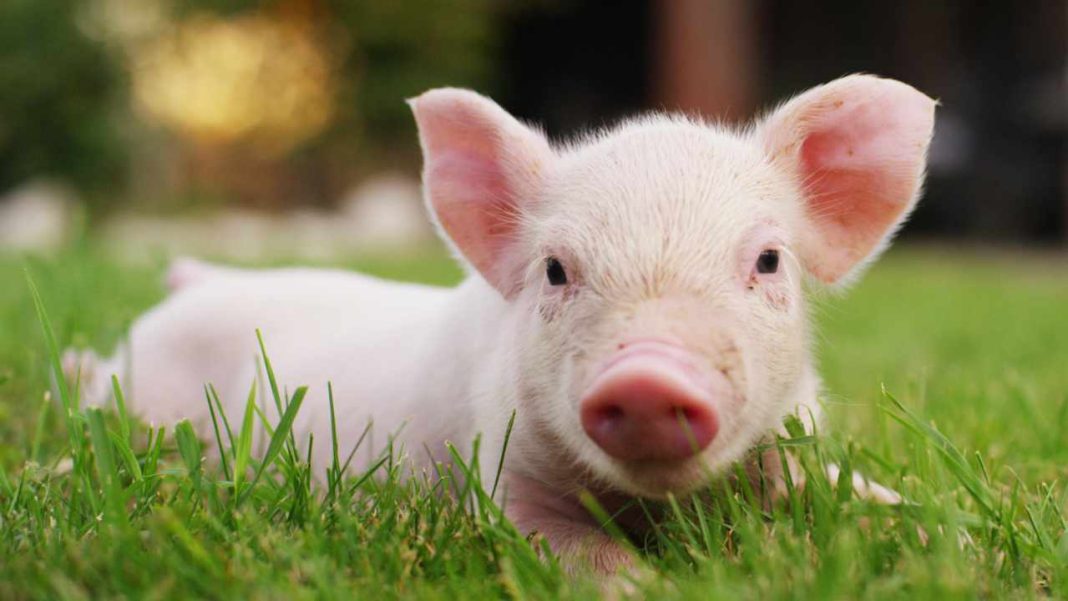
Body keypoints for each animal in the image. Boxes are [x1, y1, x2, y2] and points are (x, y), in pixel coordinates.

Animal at [64, 74, 935, 572]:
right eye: (554, 269)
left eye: (768, 261)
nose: (648, 374)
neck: (653, 505)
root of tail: (198, 280)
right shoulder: (503, 472)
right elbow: (578, 553)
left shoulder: (791, 443)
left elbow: (854, 494)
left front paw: (926, 532)